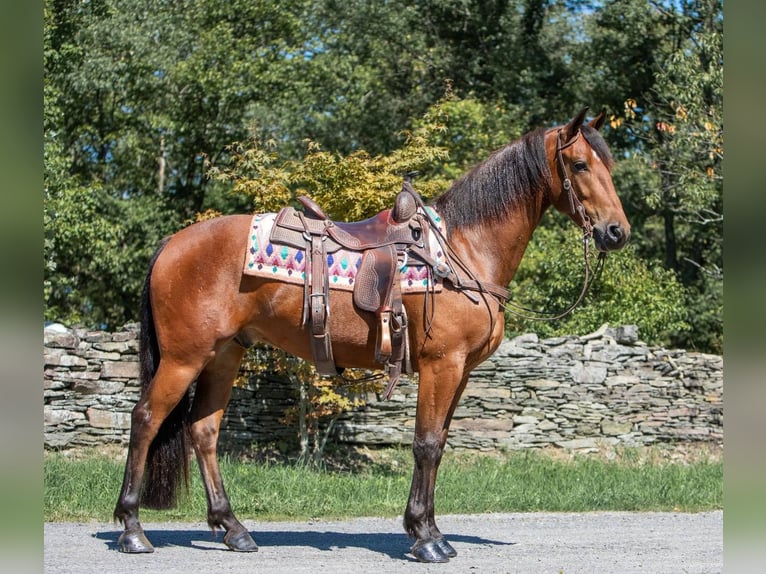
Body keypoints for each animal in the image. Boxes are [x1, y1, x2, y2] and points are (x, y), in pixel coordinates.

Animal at [112, 107, 632, 564]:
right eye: (580, 164)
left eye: (608, 164)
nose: (617, 232)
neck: (463, 250)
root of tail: (172, 244)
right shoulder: (442, 365)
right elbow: (426, 444)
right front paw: (425, 538)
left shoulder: (461, 372)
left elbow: (439, 445)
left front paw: (431, 531)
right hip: (184, 358)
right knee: (146, 420)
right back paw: (133, 529)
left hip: (223, 356)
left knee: (204, 431)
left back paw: (233, 529)